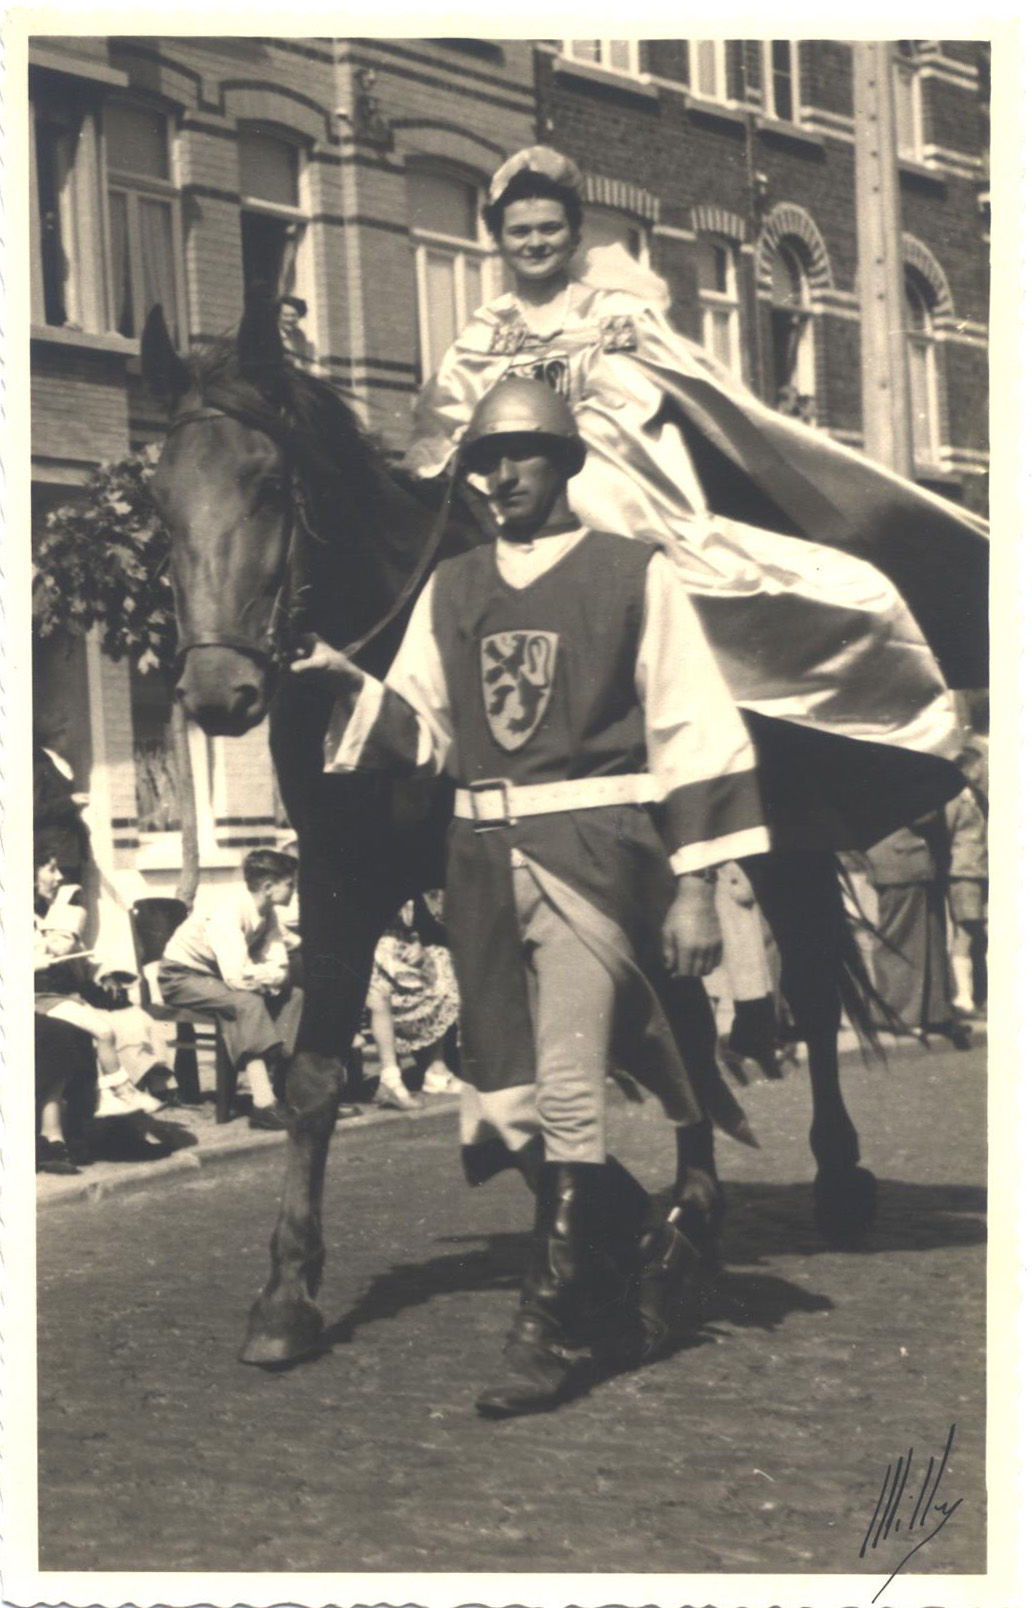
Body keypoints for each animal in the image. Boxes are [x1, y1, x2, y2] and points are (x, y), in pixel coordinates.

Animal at [140, 295, 970, 1363]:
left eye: (272, 482)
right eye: (162, 500)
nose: (218, 692)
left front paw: (616, 1223)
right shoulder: (345, 878)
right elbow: (328, 1074)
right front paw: (288, 1293)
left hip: (773, 851)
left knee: (810, 996)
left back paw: (827, 1178)